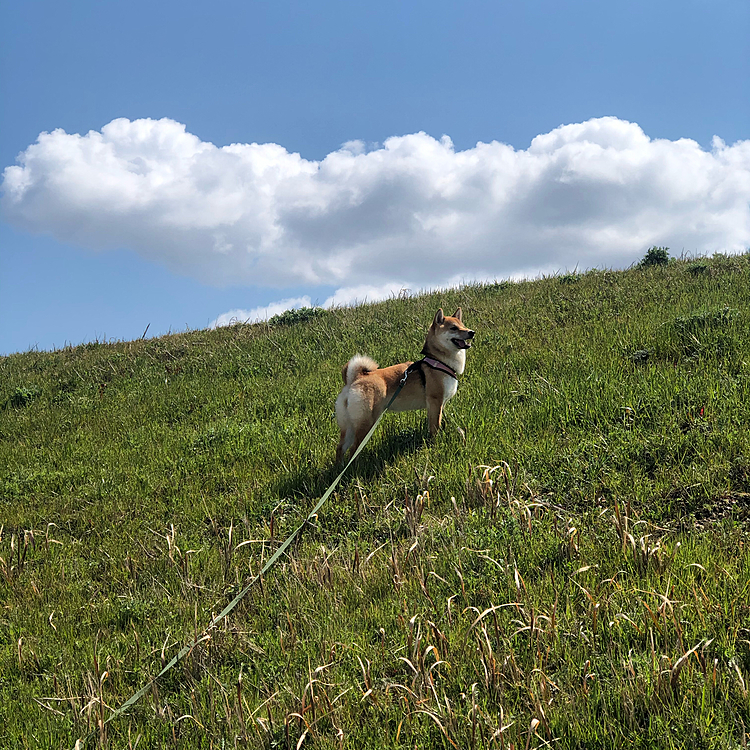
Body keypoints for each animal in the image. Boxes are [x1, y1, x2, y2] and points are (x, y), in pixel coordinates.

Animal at [336, 306, 476, 464]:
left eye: (463, 325)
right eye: (453, 328)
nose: (471, 332)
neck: (439, 361)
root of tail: (355, 379)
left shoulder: (437, 405)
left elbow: (435, 423)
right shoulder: (436, 401)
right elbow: (435, 427)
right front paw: (435, 443)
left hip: (349, 425)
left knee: (340, 448)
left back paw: (340, 467)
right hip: (366, 423)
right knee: (353, 449)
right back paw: (356, 468)